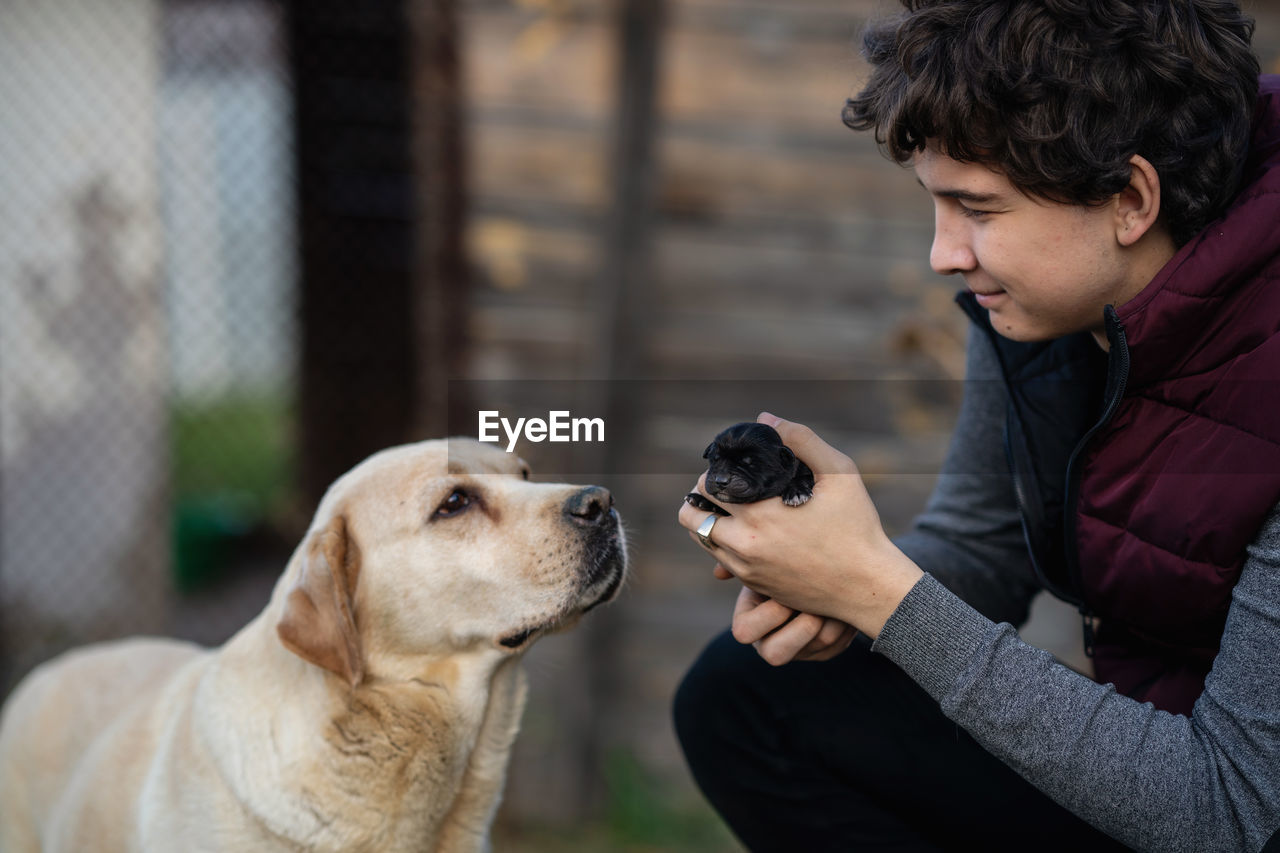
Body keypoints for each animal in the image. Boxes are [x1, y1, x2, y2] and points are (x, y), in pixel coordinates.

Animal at [686, 422, 814, 514]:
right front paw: (700, 499)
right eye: (715, 459)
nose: (721, 481)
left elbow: (804, 477)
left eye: (749, 463)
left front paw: (796, 492)